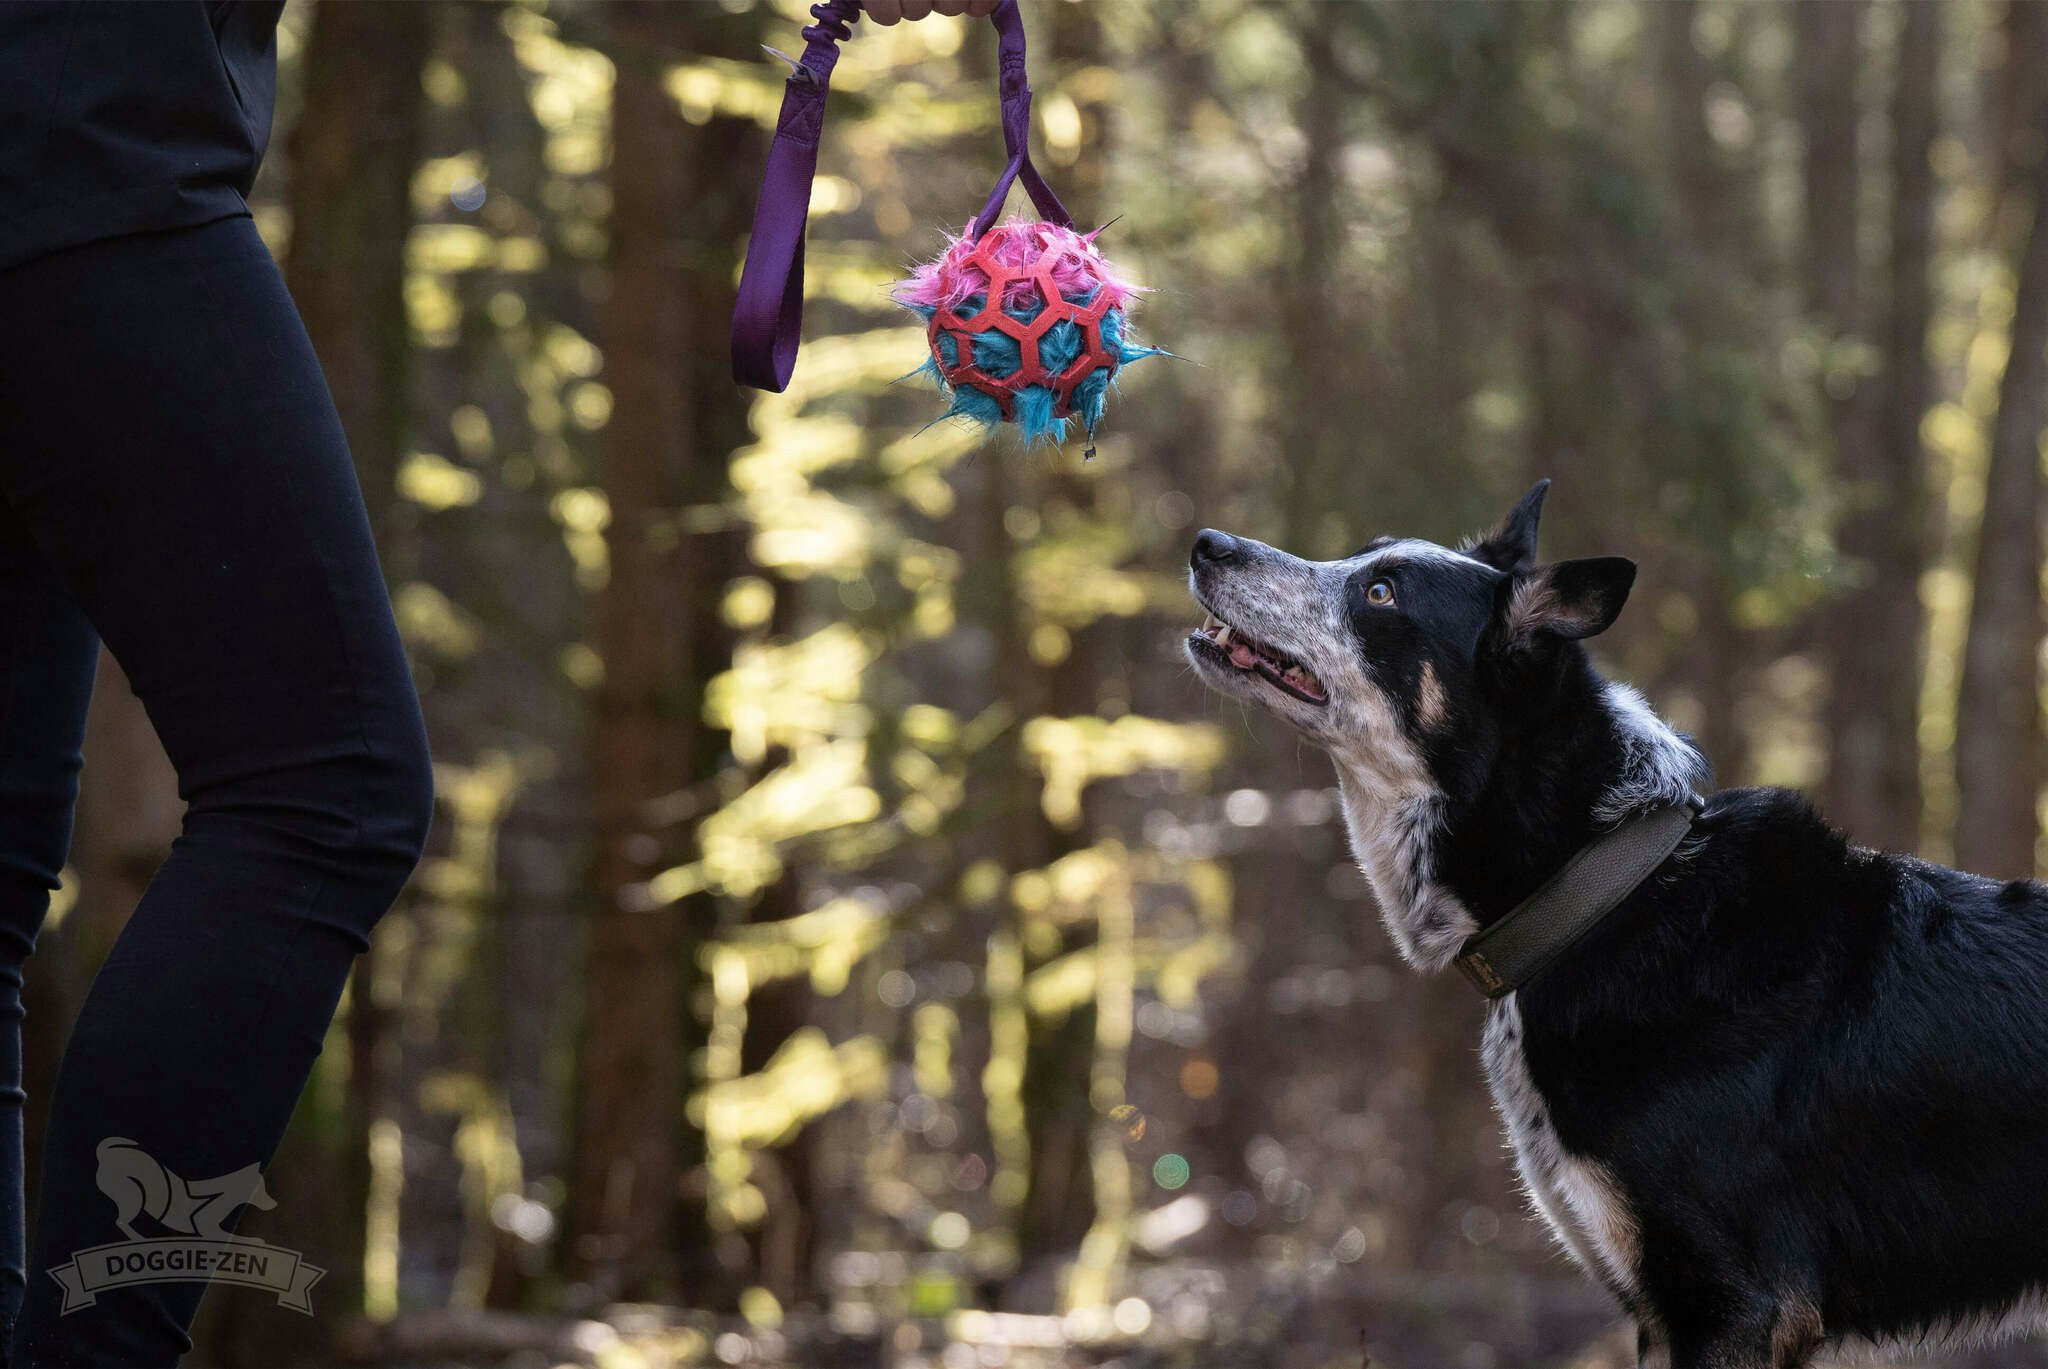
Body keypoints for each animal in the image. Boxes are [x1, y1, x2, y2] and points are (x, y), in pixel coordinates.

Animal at [1187, 479, 2048, 1369]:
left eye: (1382, 593)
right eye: (1361, 555)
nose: (1207, 543)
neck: (1606, 886)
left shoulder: (1731, 1302)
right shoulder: (1660, 1309)